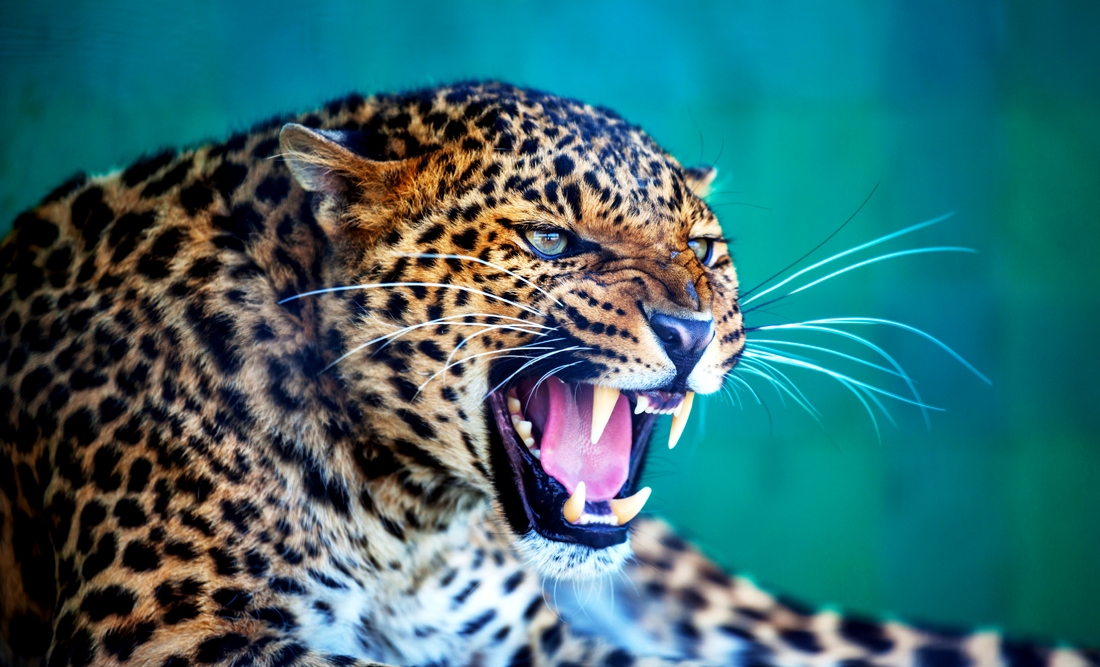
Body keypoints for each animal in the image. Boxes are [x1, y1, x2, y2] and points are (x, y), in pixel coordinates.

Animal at [1, 81, 1094, 667]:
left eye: (703, 248)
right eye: (549, 241)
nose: (691, 328)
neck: (408, 525)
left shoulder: (539, 641)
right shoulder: (174, 633)